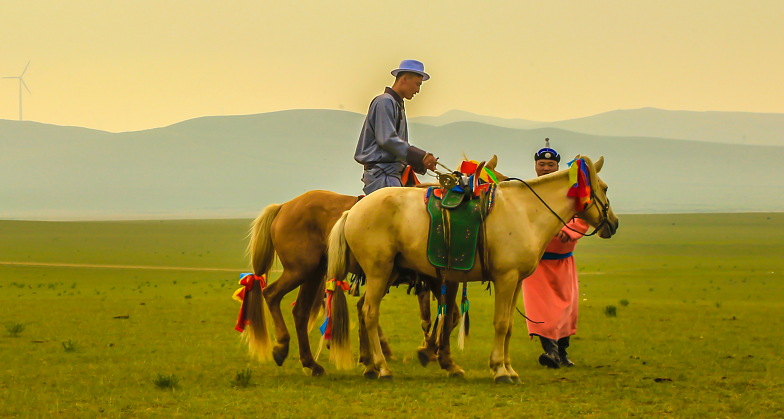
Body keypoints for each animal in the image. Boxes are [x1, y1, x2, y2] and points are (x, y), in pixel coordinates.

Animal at [242, 155, 508, 378]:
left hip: (314, 273)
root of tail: (284, 207)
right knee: (271, 294)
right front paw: (430, 353)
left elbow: (440, 317)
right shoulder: (437, 278)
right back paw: (281, 346)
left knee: (300, 312)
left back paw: (312, 363)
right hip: (300, 270)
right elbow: (448, 316)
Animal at [326, 156, 620, 382]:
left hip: (391, 272)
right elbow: (499, 323)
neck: (526, 211)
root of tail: (352, 212)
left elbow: (508, 325)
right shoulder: (505, 278)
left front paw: (507, 368)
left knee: (365, 311)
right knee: (369, 313)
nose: (614, 224)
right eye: (605, 188)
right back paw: (382, 367)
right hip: (379, 272)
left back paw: (372, 366)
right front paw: (500, 370)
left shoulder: (516, 282)